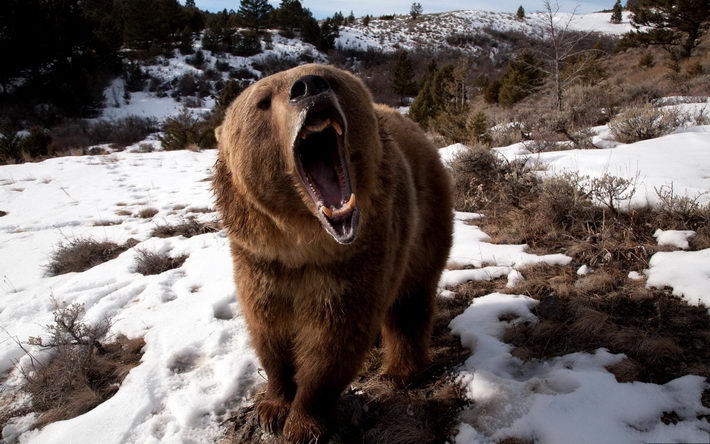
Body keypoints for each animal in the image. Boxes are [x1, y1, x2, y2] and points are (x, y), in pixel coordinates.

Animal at [214, 64, 454, 442]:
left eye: (330, 78)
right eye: (262, 101)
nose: (308, 86)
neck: (303, 244)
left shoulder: (352, 262)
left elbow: (332, 341)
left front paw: (302, 423)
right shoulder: (260, 261)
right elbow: (269, 330)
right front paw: (272, 408)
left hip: (424, 220)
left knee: (410, 301)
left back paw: (399, 371)